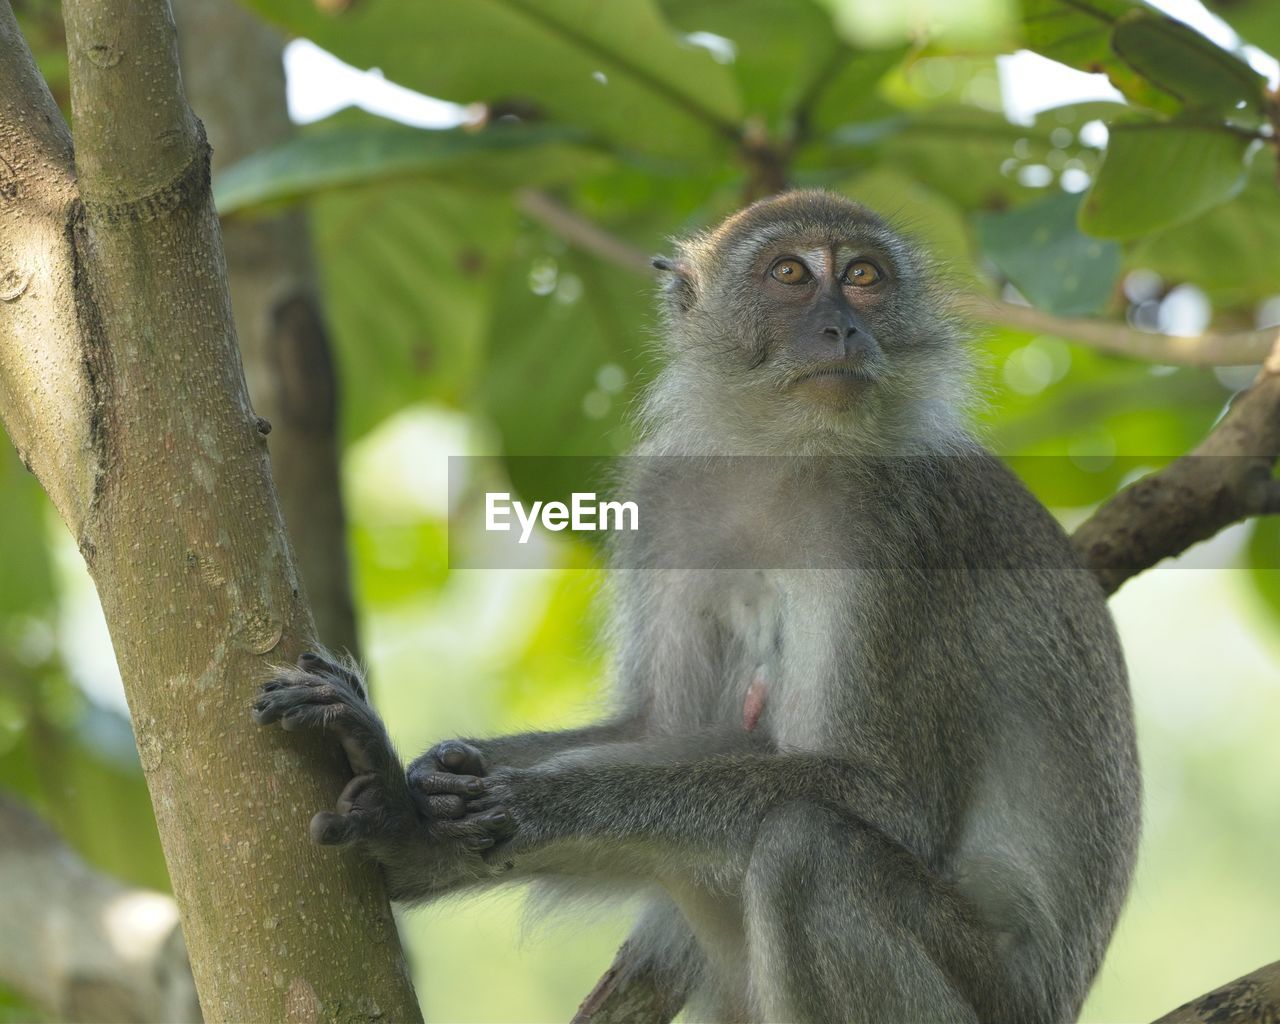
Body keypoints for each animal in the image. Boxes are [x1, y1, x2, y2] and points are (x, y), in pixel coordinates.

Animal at [253, 189, 1140, 1024]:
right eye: (790, 275)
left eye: (863, 275)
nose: (843, 330)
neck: (781, 456)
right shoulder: (668, 496)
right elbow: (659, 728)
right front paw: (407, 804)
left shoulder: (893, 525)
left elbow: (887, 796)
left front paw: (518, 805)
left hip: (989, 991)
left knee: (805, 850)